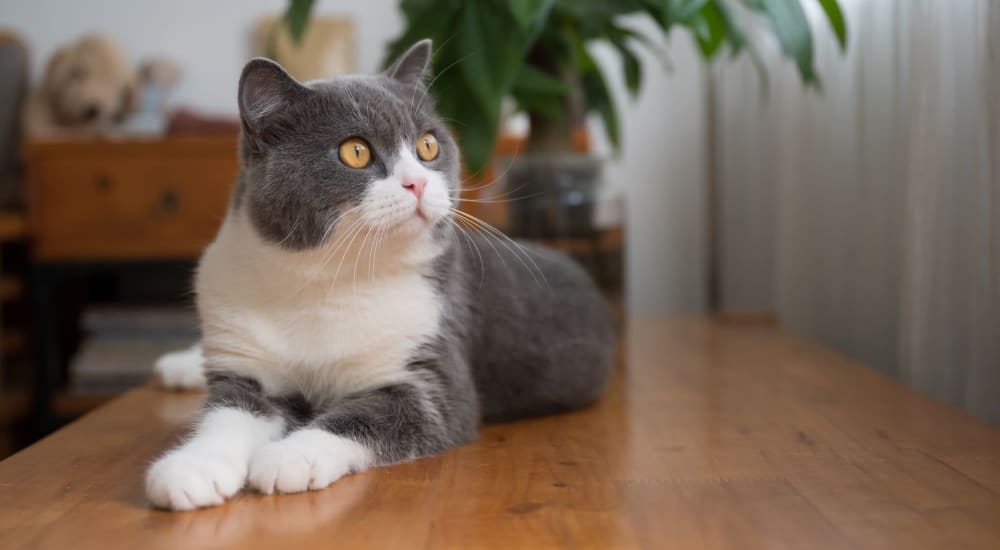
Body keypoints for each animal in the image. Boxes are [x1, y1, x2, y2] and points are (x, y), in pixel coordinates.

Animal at [145, 40, 612, 512]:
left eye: (428, 145)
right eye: (356, 152)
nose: (417, 184)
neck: (324, 281)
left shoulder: (432, 374)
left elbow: (366, 416)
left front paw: (289, 457)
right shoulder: (245, 364)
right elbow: (228, 414)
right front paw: (191, 469)